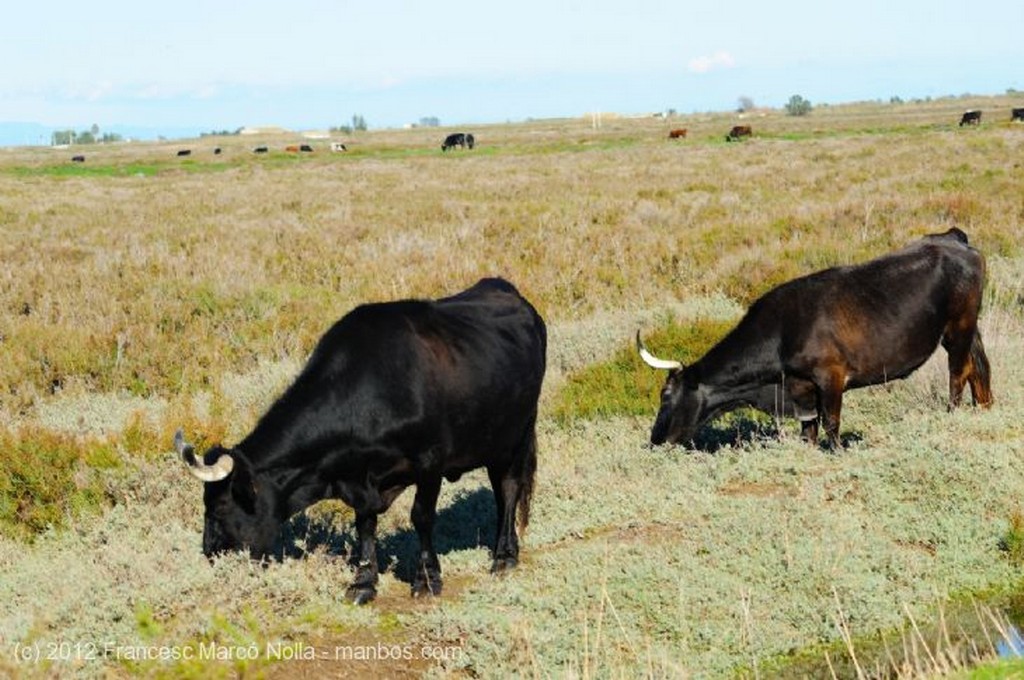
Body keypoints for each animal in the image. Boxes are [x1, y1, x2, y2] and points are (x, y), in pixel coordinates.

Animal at [178, 278, 544, 606]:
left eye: (220, 506)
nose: (210, 554)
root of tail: (505, 289)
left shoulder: (430, 461)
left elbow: (421, 516)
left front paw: (426, 579)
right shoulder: (358, 478)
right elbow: (365, 525)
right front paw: (363, 584)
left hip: (516, 436)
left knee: (508, 489)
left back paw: (504, 556)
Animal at [638, 229, 991, 450]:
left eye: (665, 395)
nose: (654, 440)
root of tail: (951, 237)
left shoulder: (830, 377)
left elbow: (832, 425)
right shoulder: (802, 391)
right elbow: (808, 432)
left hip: (958, 328)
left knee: (959, 372)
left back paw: (952, 414)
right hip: (967, 329)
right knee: (979, 370)